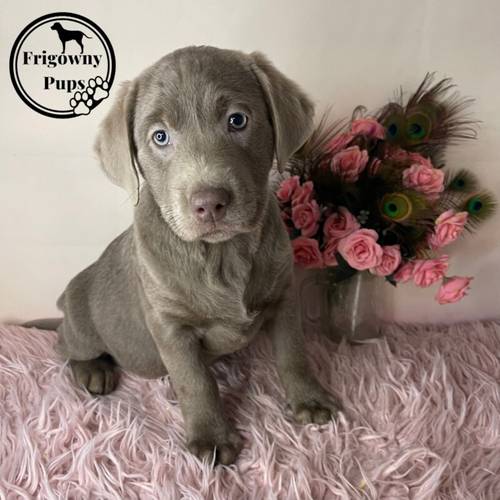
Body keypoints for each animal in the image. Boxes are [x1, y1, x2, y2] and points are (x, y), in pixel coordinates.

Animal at [56, 47, 342, 464]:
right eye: (160, 137)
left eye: (237, 120)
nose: (209, 202)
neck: (223, 253)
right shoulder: (170, 325)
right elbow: (195, 381)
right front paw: (212, 438)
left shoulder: (284, 296)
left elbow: (294, 352)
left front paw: (309, 399)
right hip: (81, 325)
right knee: (65, 343)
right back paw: (94, 370)